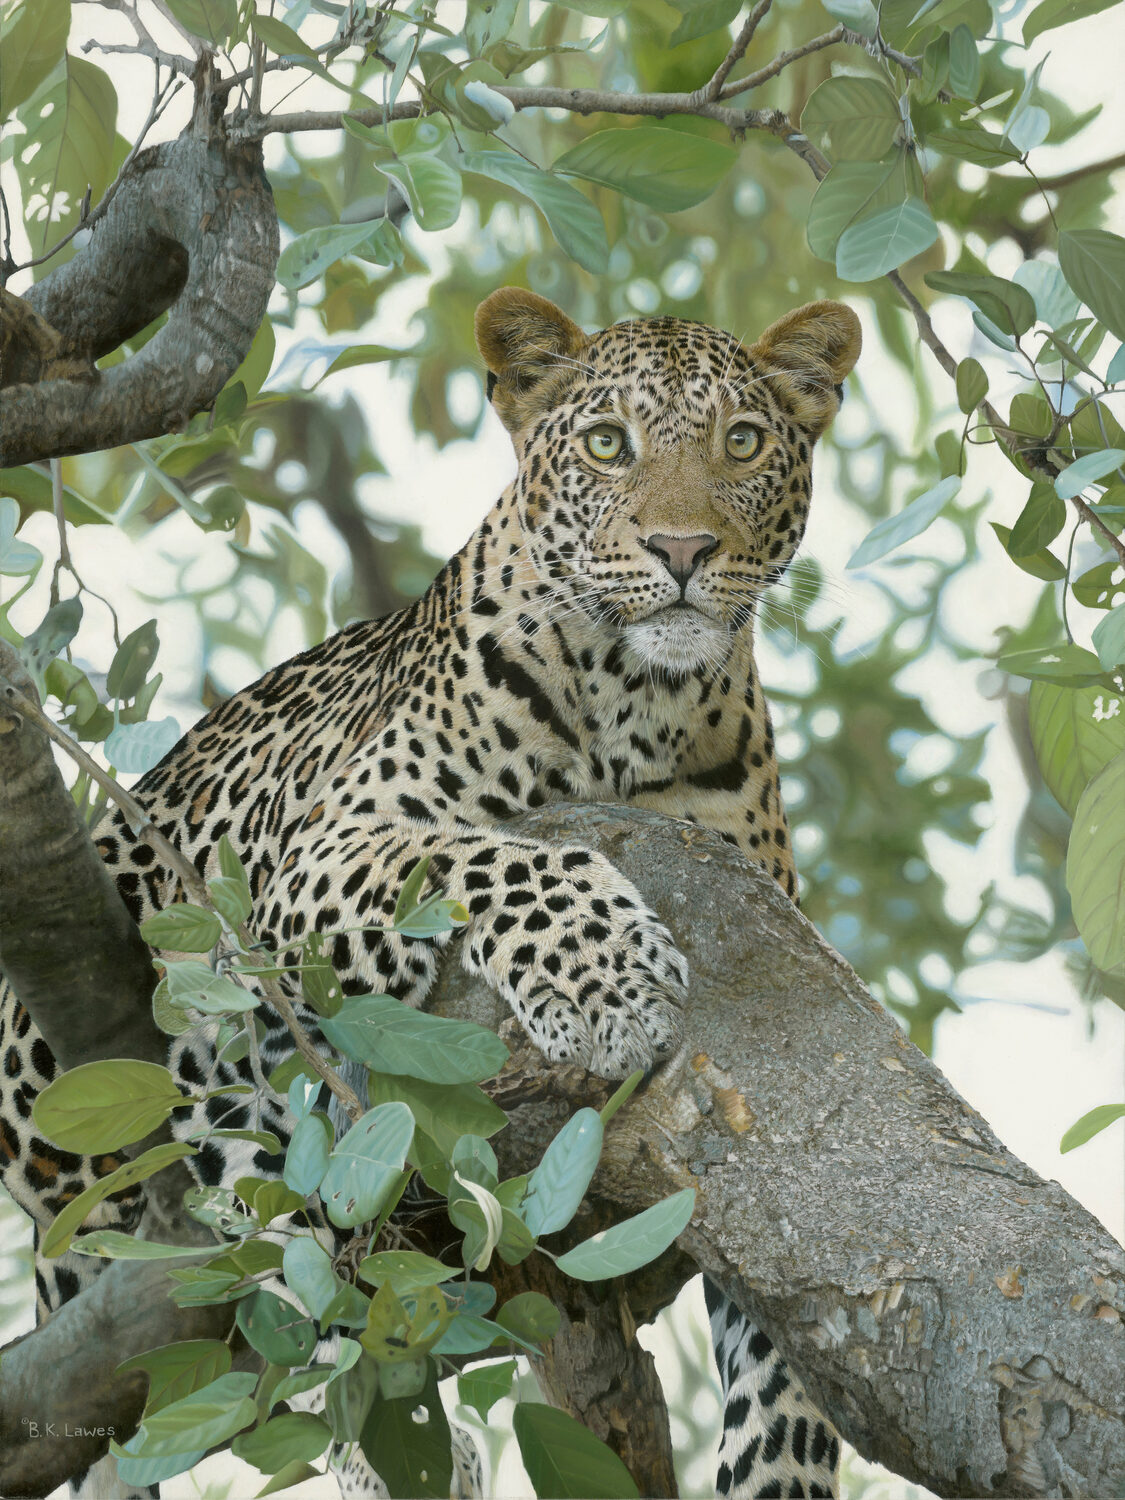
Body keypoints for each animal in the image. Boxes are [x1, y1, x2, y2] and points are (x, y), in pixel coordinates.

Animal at [0, 286, 861, 1499]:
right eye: (608, 445)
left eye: (740, 443)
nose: (684, 548)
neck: (638, 702)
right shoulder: (326, 844)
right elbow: (493, 853)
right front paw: (607, 983)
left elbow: (788, 1402)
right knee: (266, 1236)